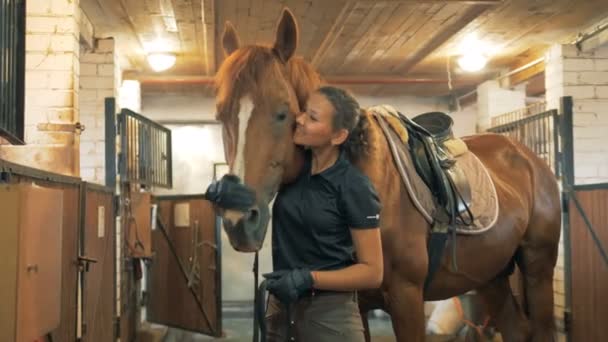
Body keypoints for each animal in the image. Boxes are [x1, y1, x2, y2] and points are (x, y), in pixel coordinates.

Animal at [214, 8, 560, 342]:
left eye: (284, 114)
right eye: (220, 115)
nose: (238, 220)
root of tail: (527, 157)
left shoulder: (407, 298)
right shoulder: (359, 304)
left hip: (538, 268)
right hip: (490, 275)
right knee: (516, 328)